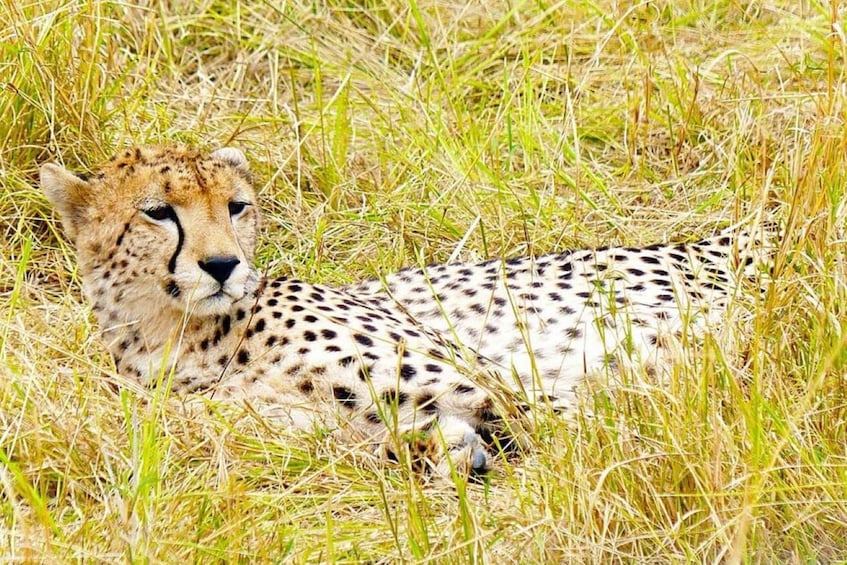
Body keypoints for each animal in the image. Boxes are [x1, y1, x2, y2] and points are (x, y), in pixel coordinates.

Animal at [41, 147, 776, 476]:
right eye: (157, 212)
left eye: (235, 207)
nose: (222, 265)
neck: (176, 335)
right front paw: (442, 449)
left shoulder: (499, 384)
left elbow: (581, 430)